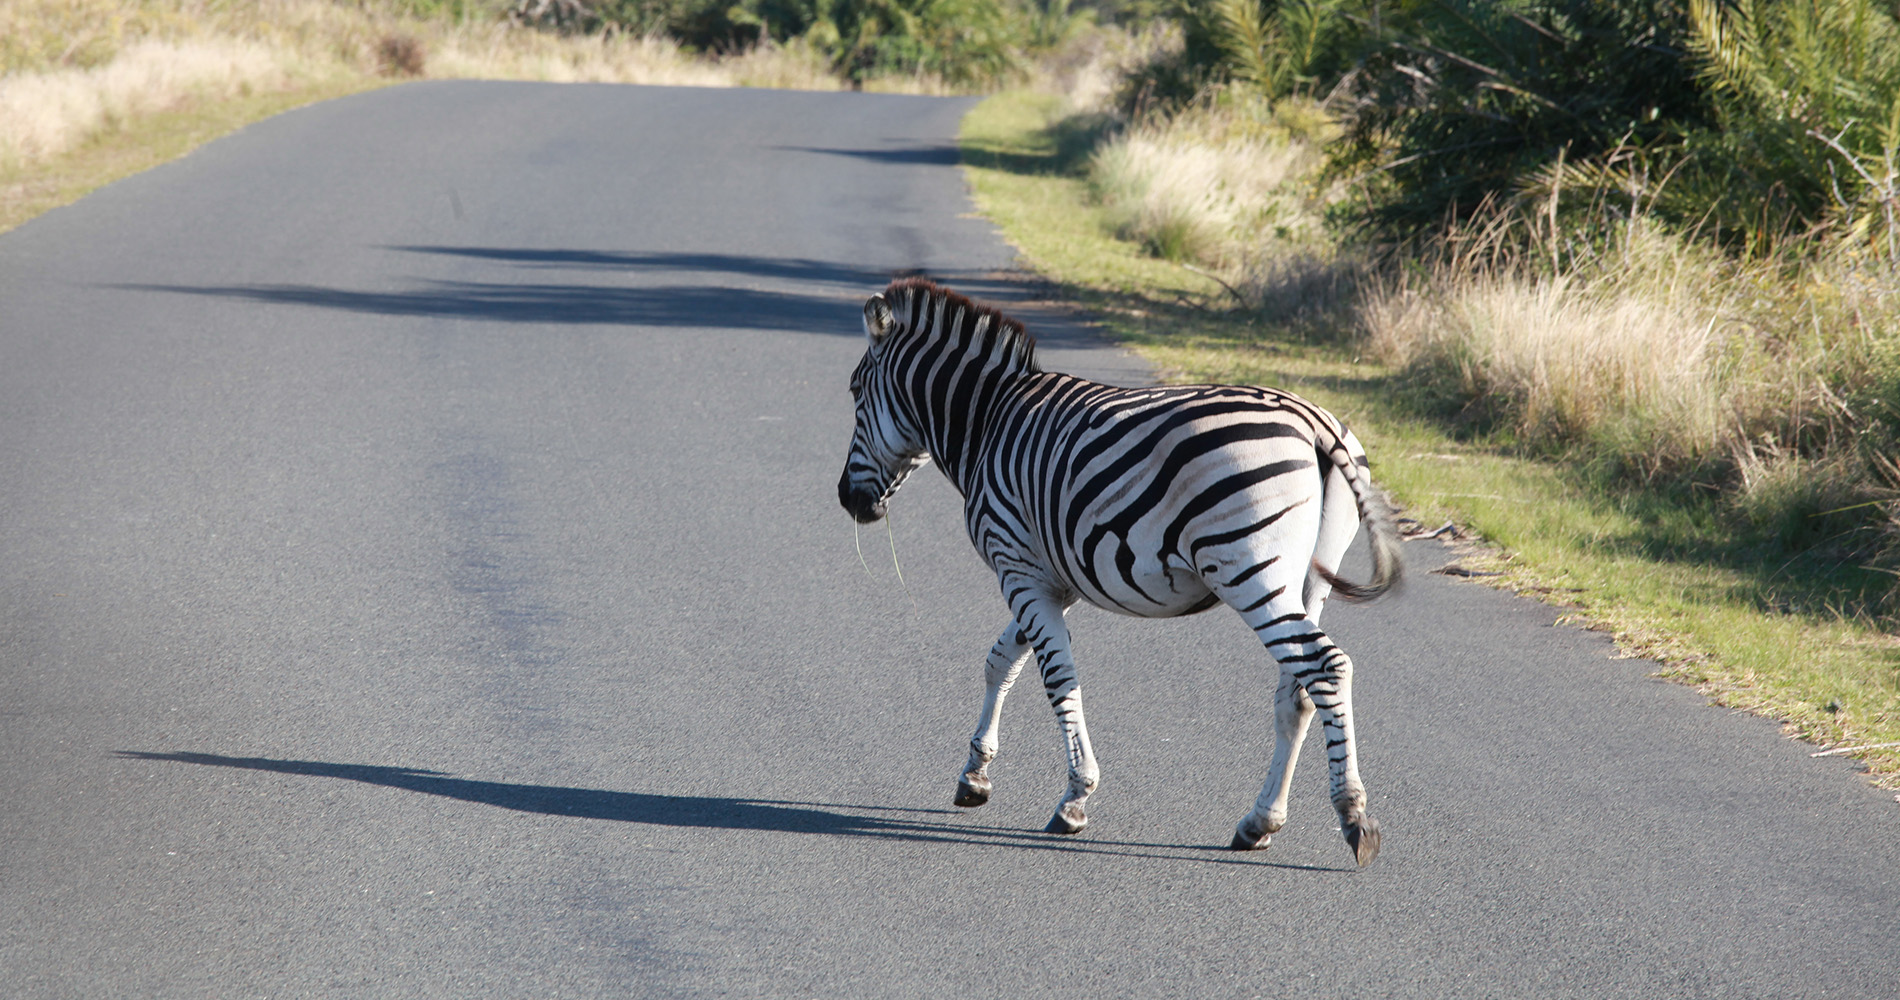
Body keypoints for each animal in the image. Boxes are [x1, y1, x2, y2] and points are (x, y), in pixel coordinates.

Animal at [839, 277, 1406, 866]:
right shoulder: (1047, 577)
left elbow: (1056, 677)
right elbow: (1002, 661)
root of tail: (1315, 422)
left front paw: (1074, 798)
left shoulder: (1018, 567)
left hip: (1248, 570)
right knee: (1297, 690)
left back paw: (1354, 817)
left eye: (855, 393)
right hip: (1307, 580)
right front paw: (975, 775)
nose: (847, 500)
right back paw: (1259, 822)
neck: (989, 422)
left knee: (1327, 667)